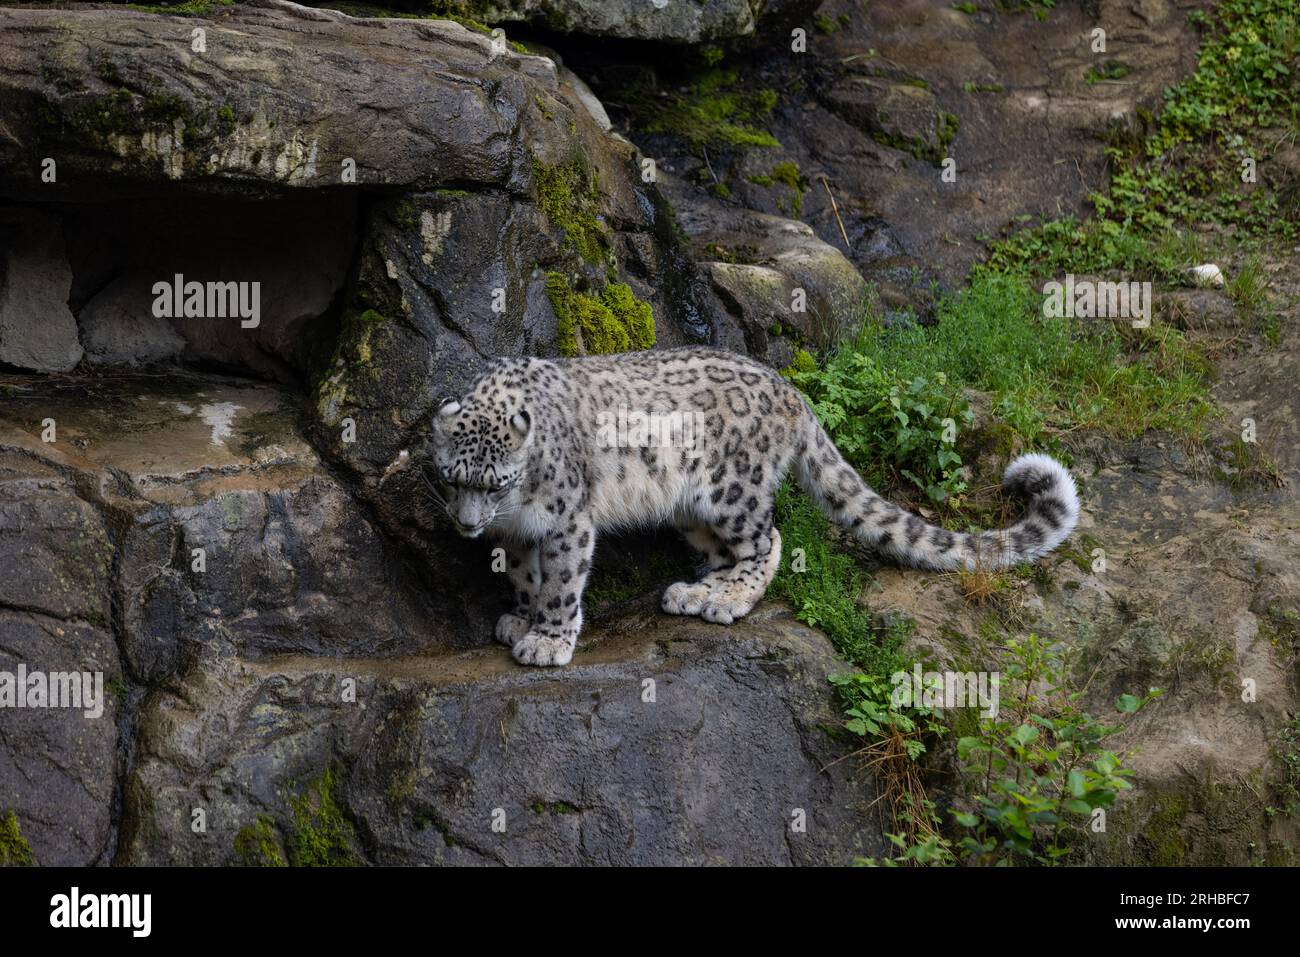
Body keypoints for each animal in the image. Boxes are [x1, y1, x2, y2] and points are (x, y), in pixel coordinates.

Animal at [426, 348, 1076, 670]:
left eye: (497, 484)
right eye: (452, 478)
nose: (467, 525)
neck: (516, 510)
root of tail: (790, 388)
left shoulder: (565, 520)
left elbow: (560, 582)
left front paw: (548, 639)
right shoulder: (518, 534)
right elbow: (524, 576)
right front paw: (520, 617)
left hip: (728, 490)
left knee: (770, 540)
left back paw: (726, 600)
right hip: (690, 507)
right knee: (730, 549)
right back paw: (697, 590)